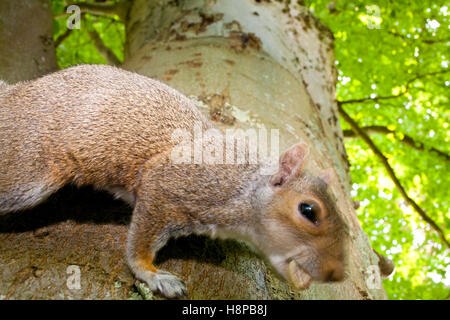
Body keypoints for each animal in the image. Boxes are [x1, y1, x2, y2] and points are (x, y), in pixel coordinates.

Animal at [0, 64, 348, 298]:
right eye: (309, 210)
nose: (336, 274)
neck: (244, 188)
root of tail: (14, 93)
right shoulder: (169, 183)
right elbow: (140, 245)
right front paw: (153, 275)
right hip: (25, 170)